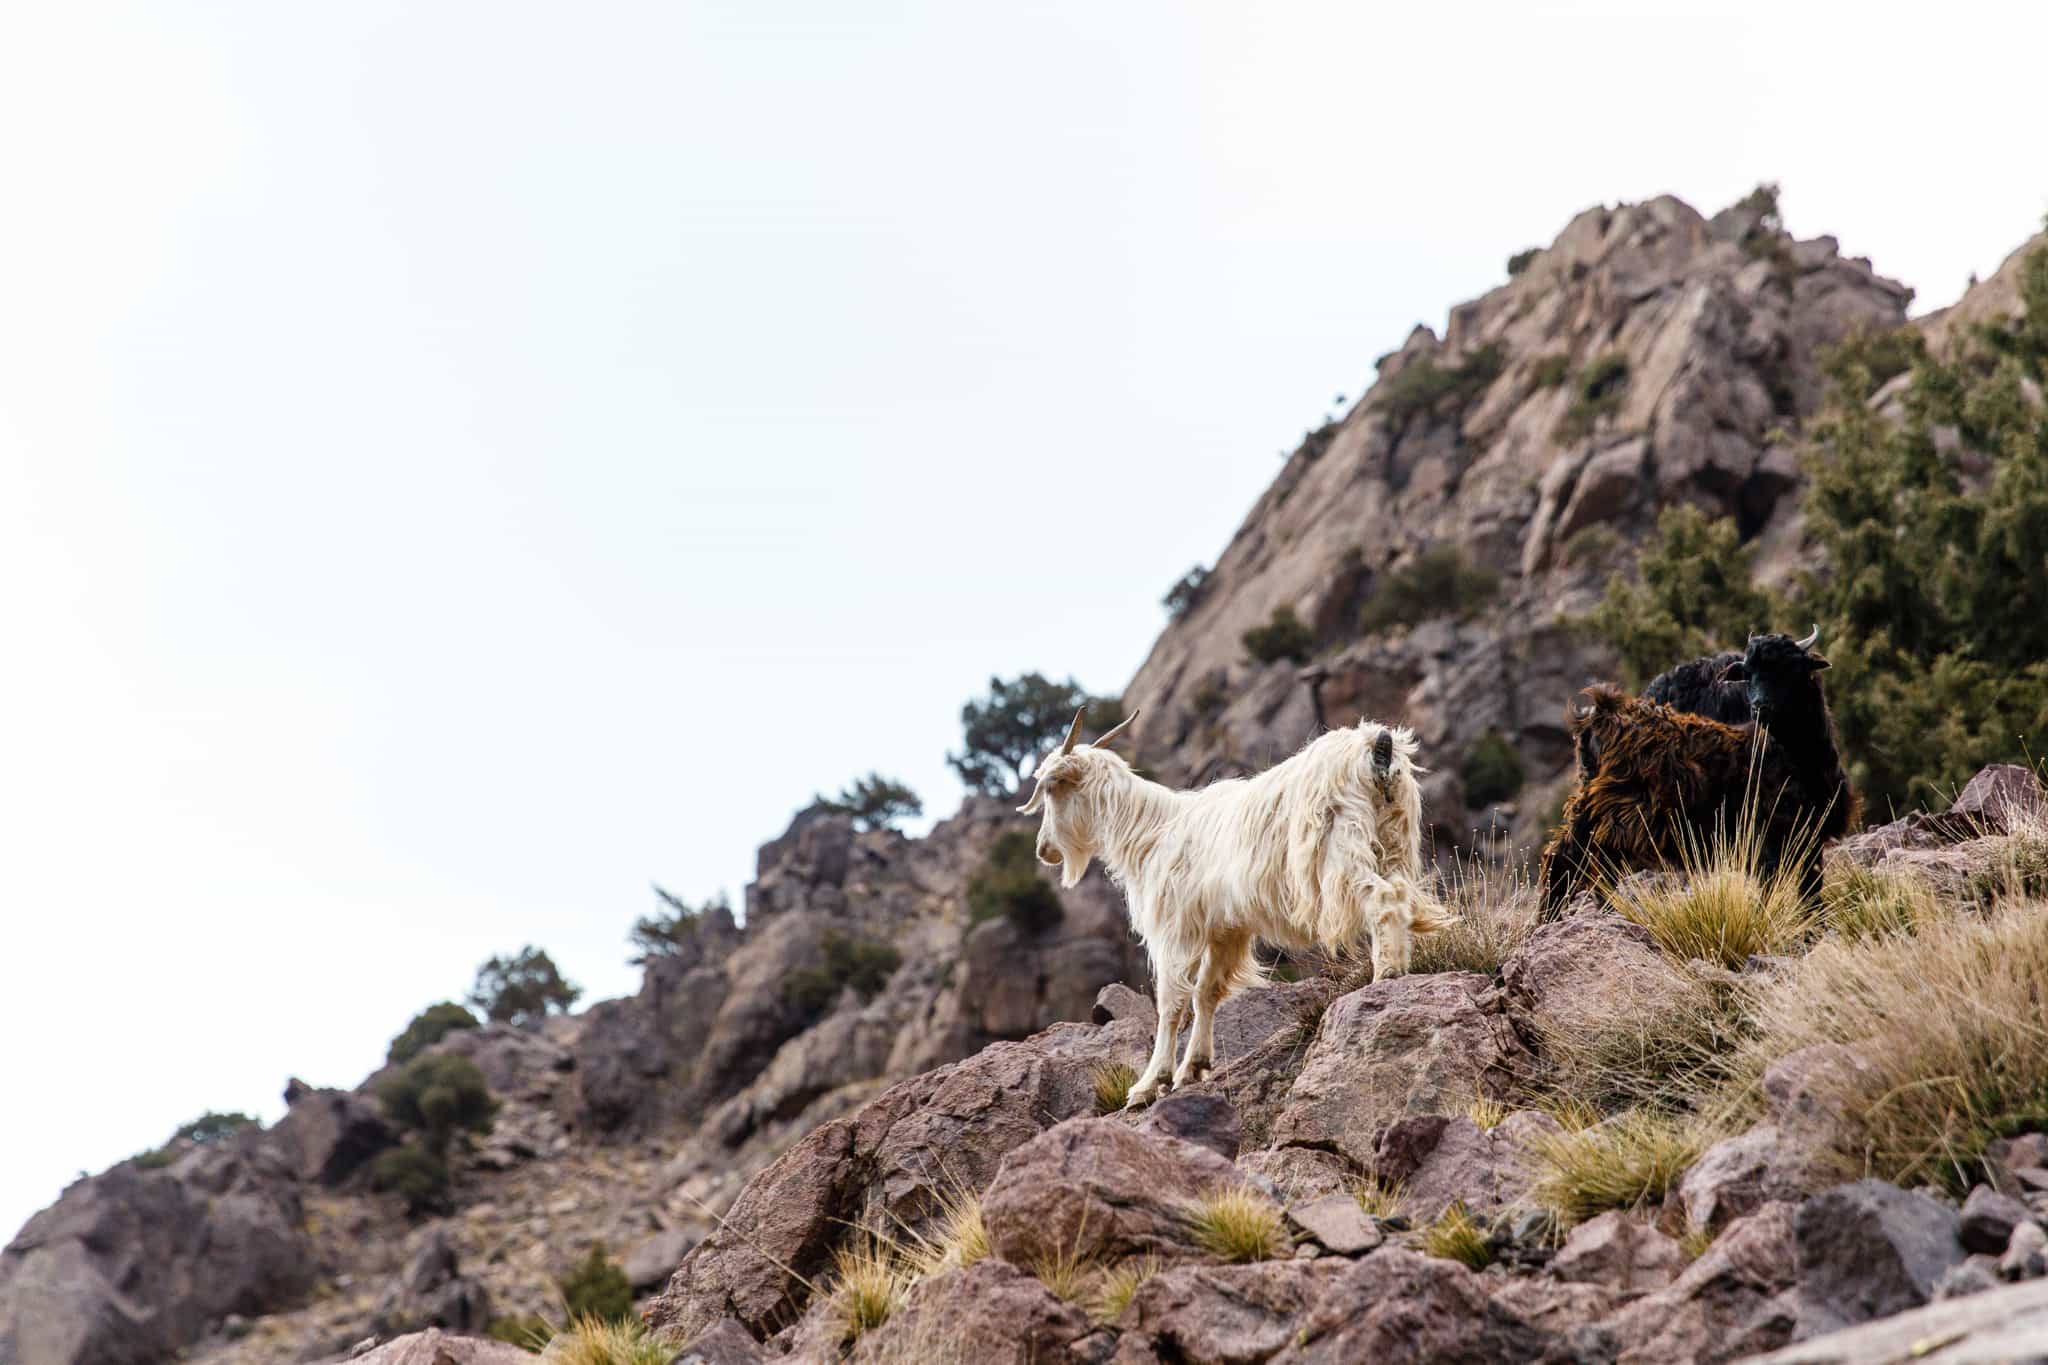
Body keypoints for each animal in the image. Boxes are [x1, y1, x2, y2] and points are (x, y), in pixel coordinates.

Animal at [1019, 709, 1451, 1108]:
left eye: (1053, 789)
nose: (1043, 850)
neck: (1150, 833)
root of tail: (1375, 745)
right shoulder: (1226, 930)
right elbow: (1206, 993)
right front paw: (1192, 1068)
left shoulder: (1175, 927)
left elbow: (1171, 1003)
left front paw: (1148, 1084)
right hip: (1393, 841)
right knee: (1399, 895)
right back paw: (1400, 966)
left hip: (1341, 850)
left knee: (1381, 897)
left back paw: (1385, 973)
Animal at [1537, 627, 1858, 919]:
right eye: (1748, 673)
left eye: (1791, 667)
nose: (1759, 706)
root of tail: (1601, 715)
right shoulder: (1766, 834)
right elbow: (1773, 886)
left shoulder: (1808, 838)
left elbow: (1810, 890)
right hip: (1615, 814)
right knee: (1573, 861)